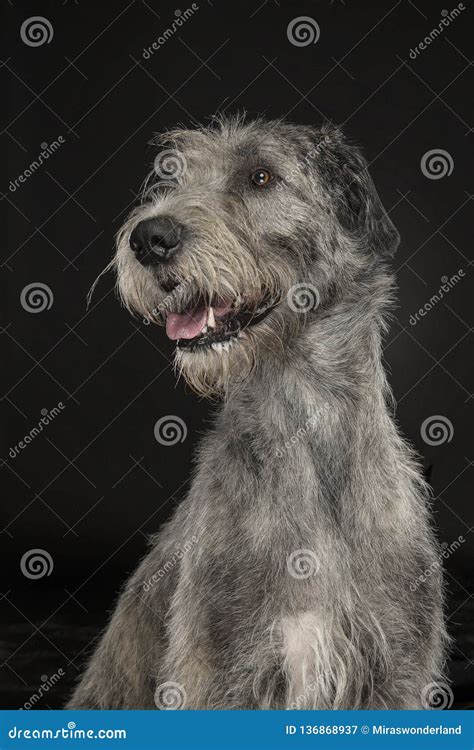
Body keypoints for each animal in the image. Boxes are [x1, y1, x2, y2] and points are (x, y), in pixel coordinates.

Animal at [66, 116, 448, 712]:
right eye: (173, 176)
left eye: (261, 176)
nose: (149, 238)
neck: (302, 430)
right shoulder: (215, 674)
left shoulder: (398, 671)